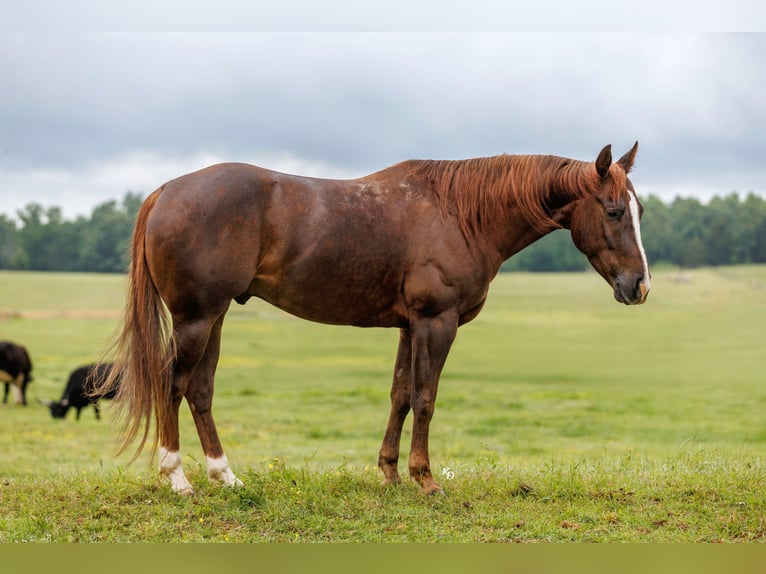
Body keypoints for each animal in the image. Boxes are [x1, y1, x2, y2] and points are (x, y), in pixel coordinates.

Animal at [96, 142, 650, 495]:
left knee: (200, 389)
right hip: (196, 319)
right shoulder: (436, 323)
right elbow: (425, 398)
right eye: (614, 211)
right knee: (172, 384)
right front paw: (425, 479)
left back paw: (226, 477)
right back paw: (178, 479)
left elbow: (401, 395)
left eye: (639, 210)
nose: (640, 286)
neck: (461, 213)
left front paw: (389, 473)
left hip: (214, 318)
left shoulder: (409, 326)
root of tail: (166, 191)